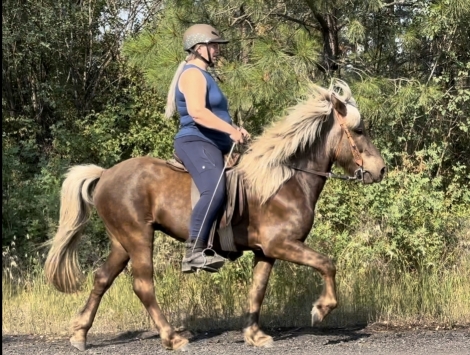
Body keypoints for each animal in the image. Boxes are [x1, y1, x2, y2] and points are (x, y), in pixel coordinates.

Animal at [44, 80, 386, 350]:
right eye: (359, 130)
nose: (380, 169)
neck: (284, 181)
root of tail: (104, 175)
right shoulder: (282, 245)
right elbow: (327, 263)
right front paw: (321, 309)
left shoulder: (266, 252)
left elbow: (257, 290)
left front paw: (255, 335)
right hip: (138, 237)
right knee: (143, 285)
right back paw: (172, 338)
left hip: (121, 241)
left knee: (102, 278)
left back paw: (80, 335)